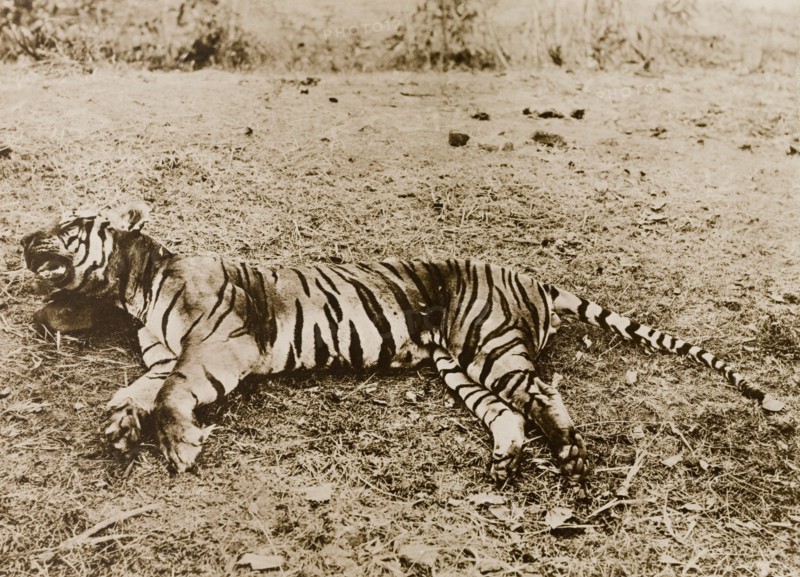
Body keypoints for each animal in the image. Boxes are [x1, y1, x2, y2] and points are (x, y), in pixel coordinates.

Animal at [20, 203, 782, 481]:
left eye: (69, 223)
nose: (25, 238)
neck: (136, 288)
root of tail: (530, 276)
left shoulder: (218, 345)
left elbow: (174, 391)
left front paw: (176, 445)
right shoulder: (164, 353)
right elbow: (140, 386)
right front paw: (121, 423)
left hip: (489, 342)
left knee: (543, 389)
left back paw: (567, 452)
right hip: (460, 365)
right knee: (508, 413)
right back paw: (505, 463)